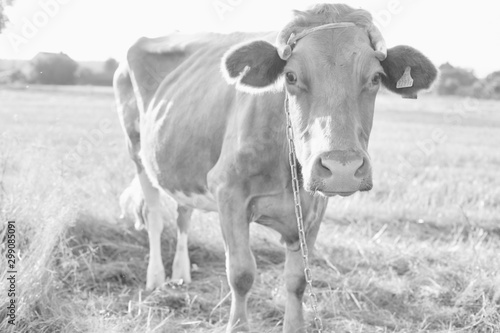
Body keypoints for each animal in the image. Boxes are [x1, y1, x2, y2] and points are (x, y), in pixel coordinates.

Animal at [114, 3, 438, 332]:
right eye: (291, 76)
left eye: (375, 78)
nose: (342, 167)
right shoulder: (228, 191)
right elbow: (241, 273)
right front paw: (237, 324)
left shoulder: (313, 209)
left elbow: (297, 280)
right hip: (137, 152)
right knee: (154, 216)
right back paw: (156, 278)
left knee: (183, 212)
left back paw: (181, 274)